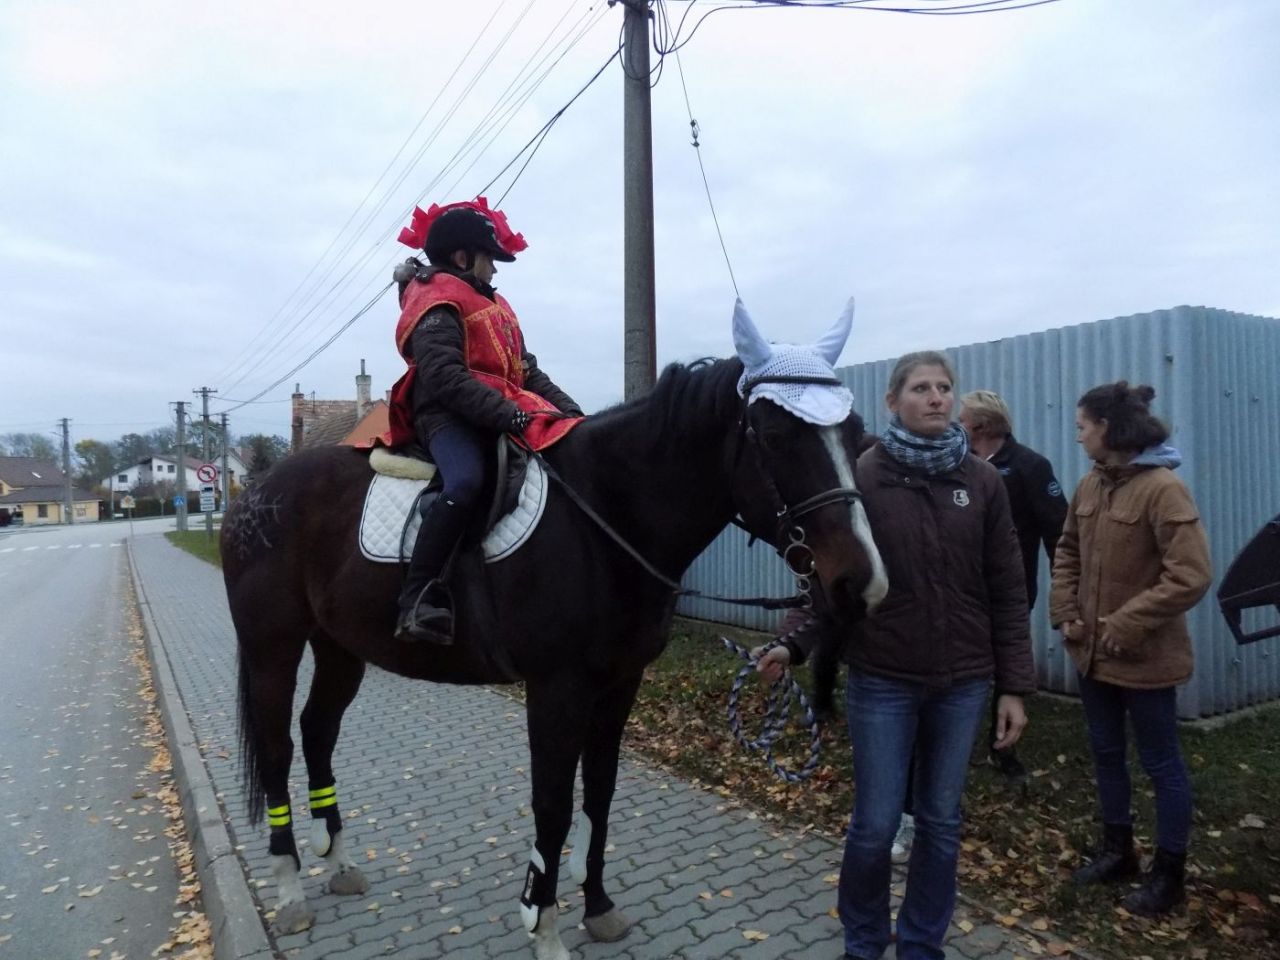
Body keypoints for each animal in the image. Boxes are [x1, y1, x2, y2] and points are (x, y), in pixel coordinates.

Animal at [221, 301, 887, 960]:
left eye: (856, 435)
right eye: (775, 436)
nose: (862, 582)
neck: (603, 516)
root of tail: (255, 495)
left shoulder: (619, 685)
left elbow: (598, 792)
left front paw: (597, 907)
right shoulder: (556, 689)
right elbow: (554, 804)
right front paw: (542, 925)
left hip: (340, 648)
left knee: (318, 731)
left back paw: (337, 863)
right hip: (272, 648)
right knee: (279, 747)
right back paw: (290, 891)